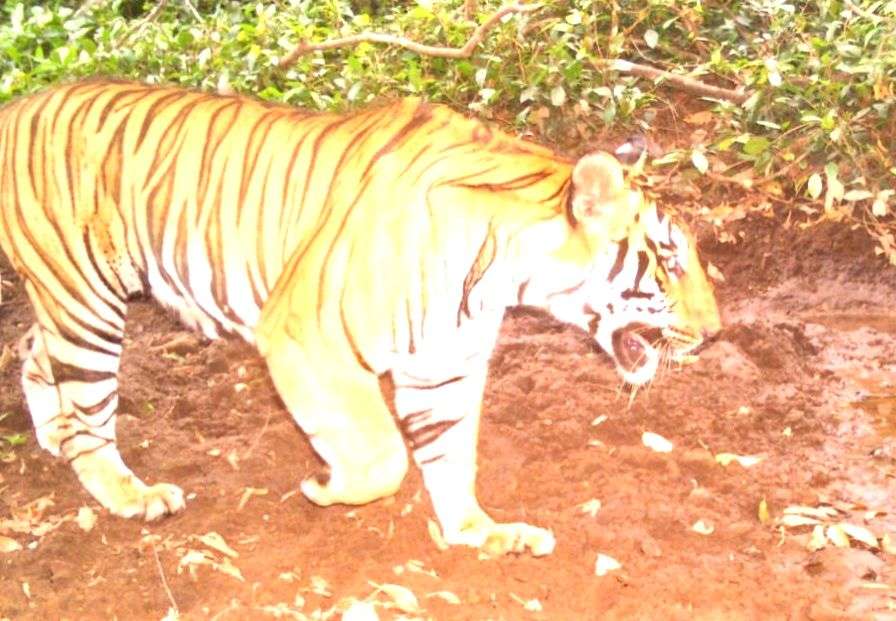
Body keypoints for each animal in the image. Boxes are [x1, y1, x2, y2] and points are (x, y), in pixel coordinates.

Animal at [0, 80, 720, 557]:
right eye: (668, 261)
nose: (716, 332)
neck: (500, 272)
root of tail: (19, 104)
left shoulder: (444, 363)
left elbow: (450, 455)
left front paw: (478, 532)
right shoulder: (304, 337)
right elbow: (384, 456)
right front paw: (326, 487)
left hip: (75, 297)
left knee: (32, 350)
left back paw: (55, 434)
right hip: (86, 299)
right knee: (89, 410)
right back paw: (131, 492)